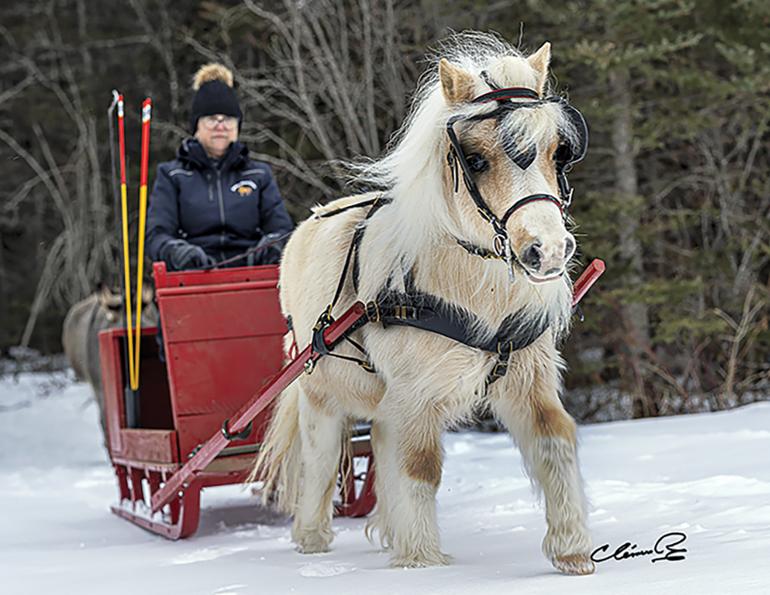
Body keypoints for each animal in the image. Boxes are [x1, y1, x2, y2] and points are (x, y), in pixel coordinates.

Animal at [253, 32, 595, 575]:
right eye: (475, 159)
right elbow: (419, 469)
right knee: (319, 461)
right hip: (322, 393)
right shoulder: (417, 396)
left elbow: (555, 440)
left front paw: (572, 550)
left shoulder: (528, 379)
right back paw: (312, 540)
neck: (478, 292)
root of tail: (309, 222)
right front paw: (423, 563)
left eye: (557, 153)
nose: (547, 250)